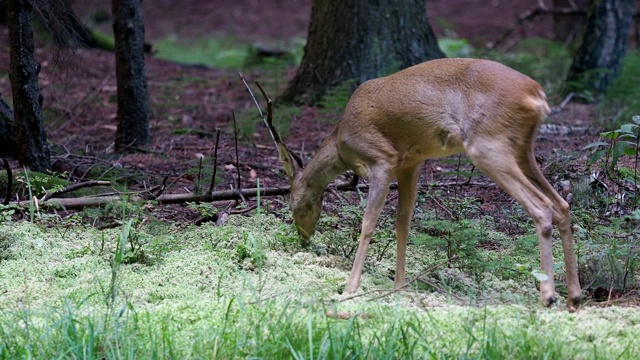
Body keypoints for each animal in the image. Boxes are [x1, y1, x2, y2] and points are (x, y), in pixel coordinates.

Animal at [254, 57, 580, 308]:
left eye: (292, 202)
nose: (303, 237)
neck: (340, 143)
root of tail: (537, 94)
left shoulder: (382, 159)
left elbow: (368, 223)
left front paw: (350, 287)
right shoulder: (410, 164)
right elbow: (403, 224)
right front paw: (399, 286)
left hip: (488, 145)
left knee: (541, 207)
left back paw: (548, 295)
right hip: (522, 149)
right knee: (561, 205)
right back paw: (573, 297)